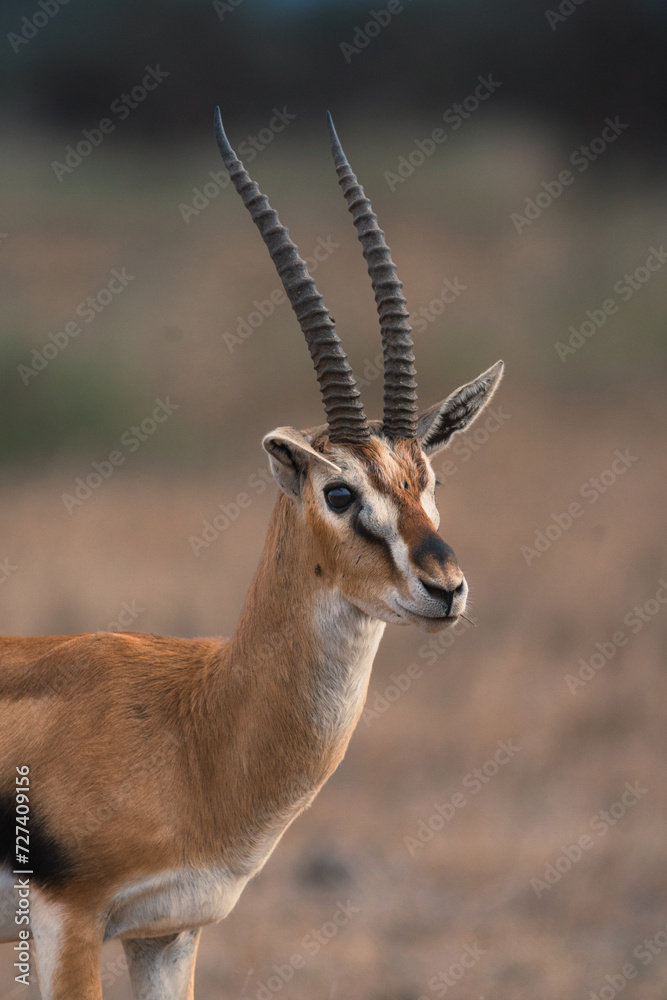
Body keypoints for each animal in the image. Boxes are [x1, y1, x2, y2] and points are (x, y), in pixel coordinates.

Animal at [0, 109, 503, 1000]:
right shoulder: (70, 926)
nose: (446, 586)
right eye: (338, 492)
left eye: (427, 477)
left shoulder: (168, 932)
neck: (194, 726)